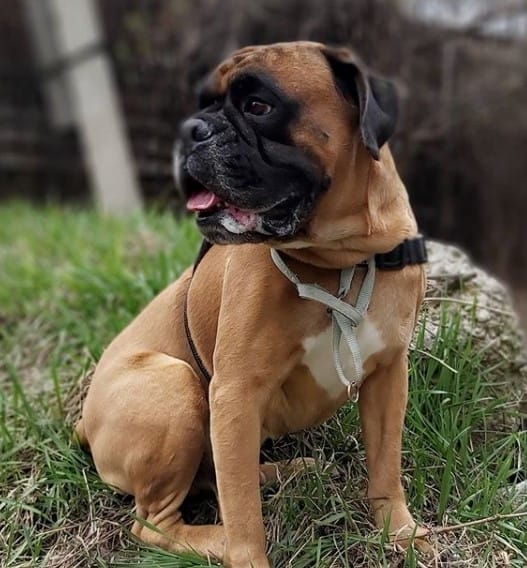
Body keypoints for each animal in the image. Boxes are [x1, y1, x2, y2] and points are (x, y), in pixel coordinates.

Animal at [76, 41, 429, 567]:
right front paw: (245, 551)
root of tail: (84, 421)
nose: (190, 128)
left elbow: (385, 463)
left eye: (258, 106)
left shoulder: (388, 375)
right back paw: (219, 539)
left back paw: (283, 472)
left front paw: (398, 530)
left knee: (219, 476)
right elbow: (244, 515)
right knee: (159, 521)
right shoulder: (235, 394)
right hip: (175, 387)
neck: (339, 261)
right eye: (203, 103)